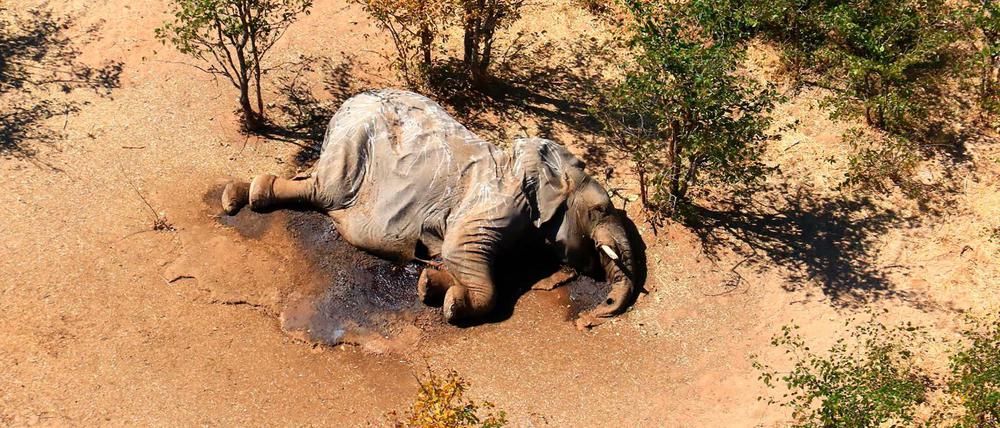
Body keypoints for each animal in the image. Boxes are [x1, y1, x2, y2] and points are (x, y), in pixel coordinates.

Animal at [221, 89, 640, 327]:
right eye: (600, 210)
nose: (590, 319)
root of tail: (347, 103)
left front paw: (429, 285)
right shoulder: (495, 202)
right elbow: (461, 252)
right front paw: (454, 305)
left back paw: (238, 195)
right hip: (353, 144)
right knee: (324, 191)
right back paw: (245, 196)